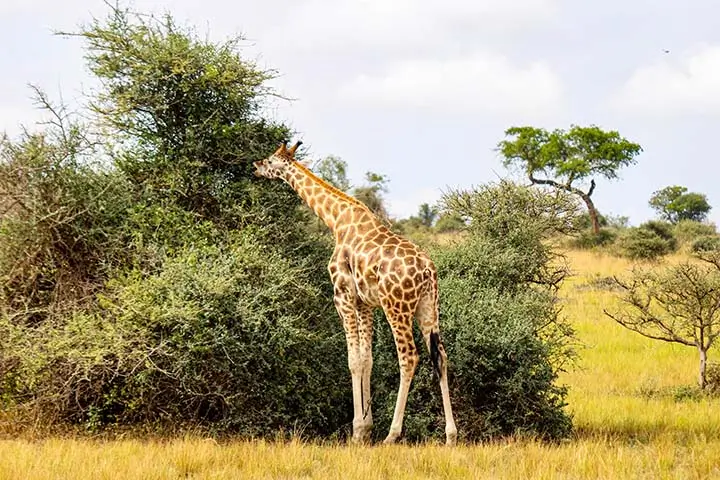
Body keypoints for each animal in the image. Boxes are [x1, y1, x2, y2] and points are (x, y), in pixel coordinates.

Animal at [253, 141, 456, 444]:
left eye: (269, 160)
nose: (255, 166)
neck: (336, 220)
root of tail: (427, 271)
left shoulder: (343, 296)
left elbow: (352, 360)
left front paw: (358, 430)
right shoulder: (365, 304)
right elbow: (366, 360)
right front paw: (366, 427)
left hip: (397, 306)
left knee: (409, 358)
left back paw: (392, 435)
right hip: (429, 307)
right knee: (440, 357)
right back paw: (451, 435)